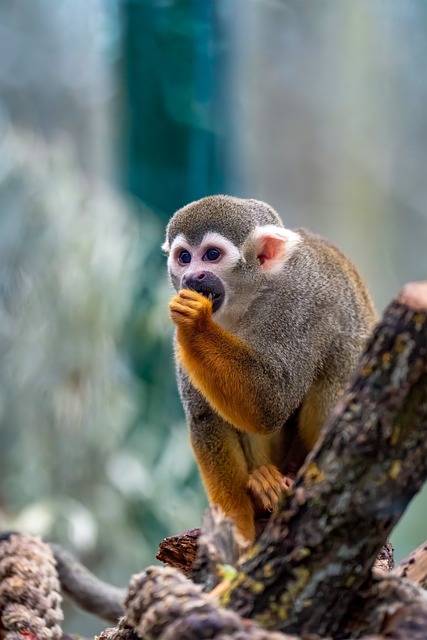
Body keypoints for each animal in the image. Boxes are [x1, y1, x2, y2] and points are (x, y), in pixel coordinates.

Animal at [163, 195, 377, 543]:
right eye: (184, 257)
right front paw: (237, 528)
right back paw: (261, 488)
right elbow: (207, 418)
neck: (248, 299)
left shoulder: (297, 304)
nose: (192, 277)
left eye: (211, 255)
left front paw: (196, 324)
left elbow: (270, 404)